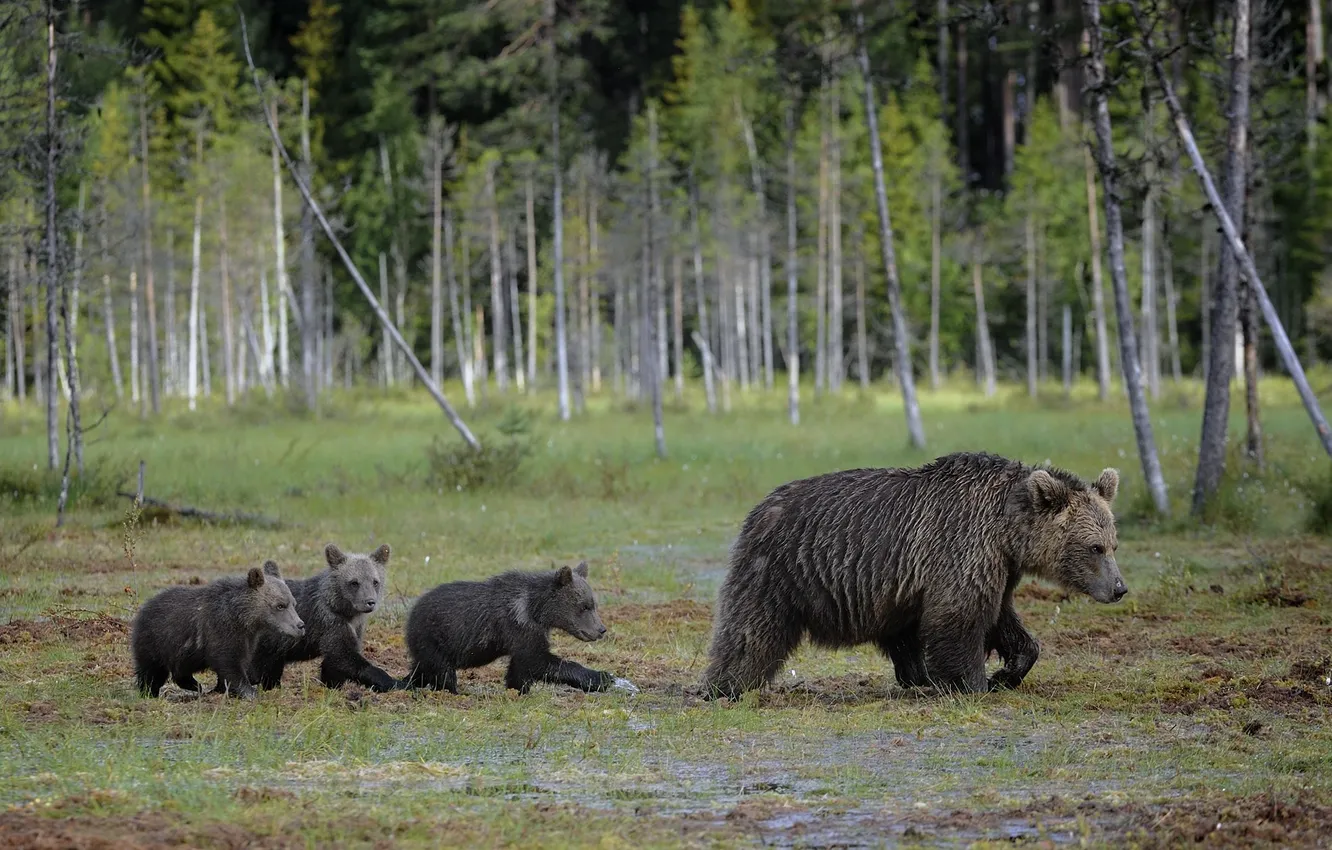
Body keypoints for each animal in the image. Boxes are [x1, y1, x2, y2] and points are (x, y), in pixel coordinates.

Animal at [131, 561, 306, 699]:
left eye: (294, 603)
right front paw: (249, 691)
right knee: (152, 671)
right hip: (155, 641)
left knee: (181, 669)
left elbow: (240, 662)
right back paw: (149, 692)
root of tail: (144, 607)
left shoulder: (247, 638)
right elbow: (230, 665)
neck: (243, 618)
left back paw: (195, 685)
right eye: (280, 605)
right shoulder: (221, 631)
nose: (300, 626)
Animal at [242, 543, 402, 694]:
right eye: (354, 582)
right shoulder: (329, 622)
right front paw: (394, 682)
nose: (370, 602)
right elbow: (343, 656)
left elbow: (333, 664)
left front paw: (332, 685)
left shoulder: (353, 627)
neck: (344, 610)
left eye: (375, 581)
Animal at [403, 561, 614, 695]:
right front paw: (601, 678)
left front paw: (518, 690)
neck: (536, 610)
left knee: (422, 670)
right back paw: (453, 692)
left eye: (594, 605)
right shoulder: (519, 626)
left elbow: (520, 669)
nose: (601, 629)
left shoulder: (526, 633)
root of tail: (412, 613)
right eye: (584, 606)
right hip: (434, 638)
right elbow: (538, 661)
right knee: (443, 671)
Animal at [700, 451, 1126, 700]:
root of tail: (760, 507)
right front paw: (975, 683)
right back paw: (724, 686)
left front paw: (1007, 672)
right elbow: (960, 619)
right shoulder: (962, 547)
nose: (1119, 587)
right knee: (751, 630)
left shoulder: (998, 567)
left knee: (901, 634)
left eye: (1113, 543)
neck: (1007, 529)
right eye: (1094, 547)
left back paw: (915, 676)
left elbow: (1004, 622)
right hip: (778, 569)